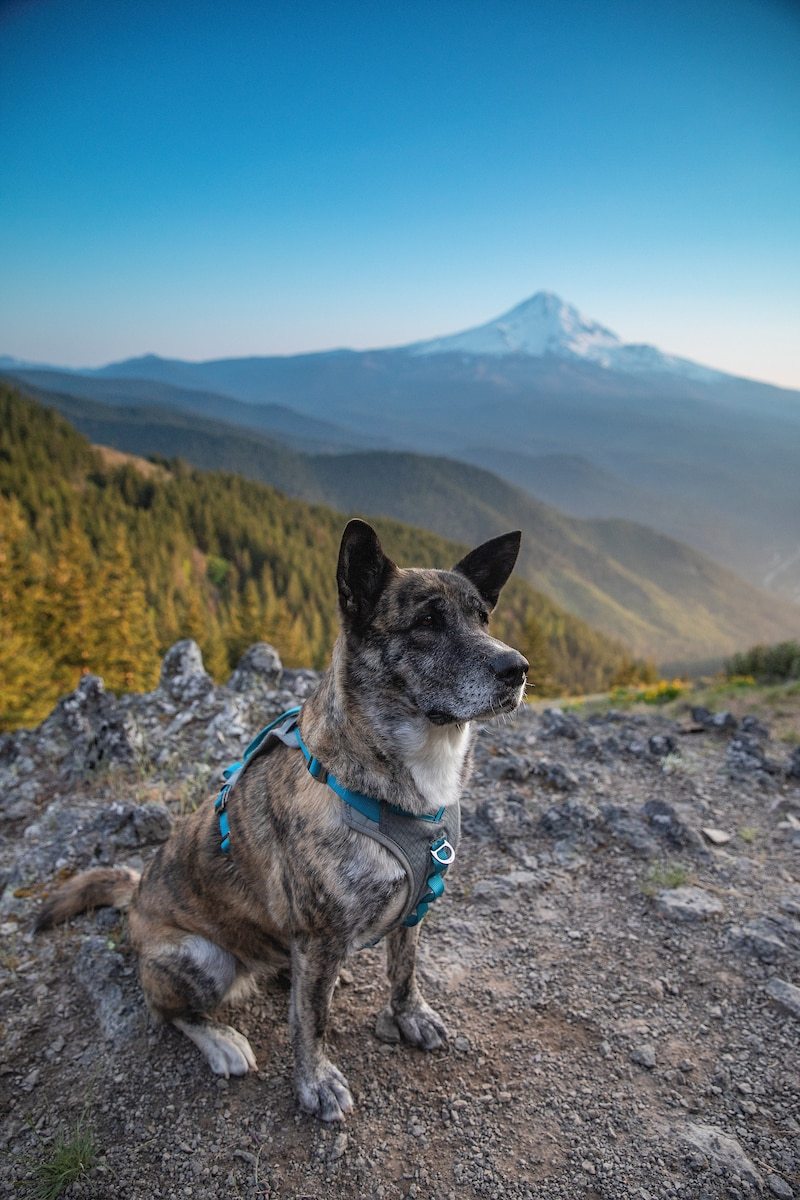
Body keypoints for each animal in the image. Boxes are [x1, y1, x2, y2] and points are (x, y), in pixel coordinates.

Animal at [37, 520, 527, 1118]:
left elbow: (403, 969)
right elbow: (311, 1022)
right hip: (201, 957)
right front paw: (315, 1082)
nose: (517, 669)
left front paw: (409, 1016)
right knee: (169, 1009)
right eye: (427, 622)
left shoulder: (412, 912)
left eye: (482, 618)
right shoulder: (319, 934)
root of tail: (134, 899)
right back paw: (221, 1041)